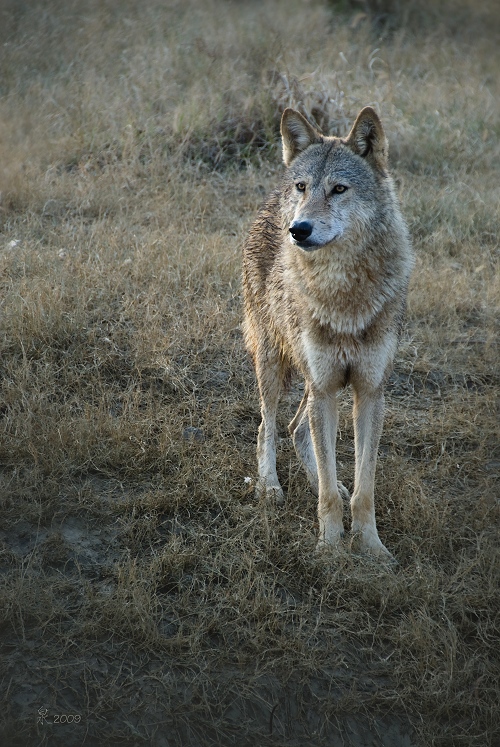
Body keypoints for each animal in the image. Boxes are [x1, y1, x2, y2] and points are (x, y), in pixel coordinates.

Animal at [243, 106, 414, 560]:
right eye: (304, 187)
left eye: (339, 189)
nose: (298, 229)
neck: (342, 294)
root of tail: (272, 196)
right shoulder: (325, 387)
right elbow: (328, 494)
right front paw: (330, 548)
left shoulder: (369, 391)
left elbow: (364, 488)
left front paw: (371, 547)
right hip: (274, 363)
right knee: (268, 425)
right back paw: (270, 487)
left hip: (309, 377)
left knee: (297, 428)